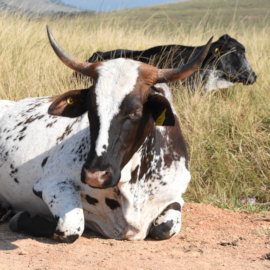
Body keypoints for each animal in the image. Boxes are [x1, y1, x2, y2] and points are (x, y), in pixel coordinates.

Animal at [0, 26, 212, 244]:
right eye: (91, 107)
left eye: (135, 111)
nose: (96, 176)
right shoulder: (52, 182)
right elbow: (72, 226)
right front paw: (21, 218)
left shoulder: (175, 196)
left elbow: (166, 228)